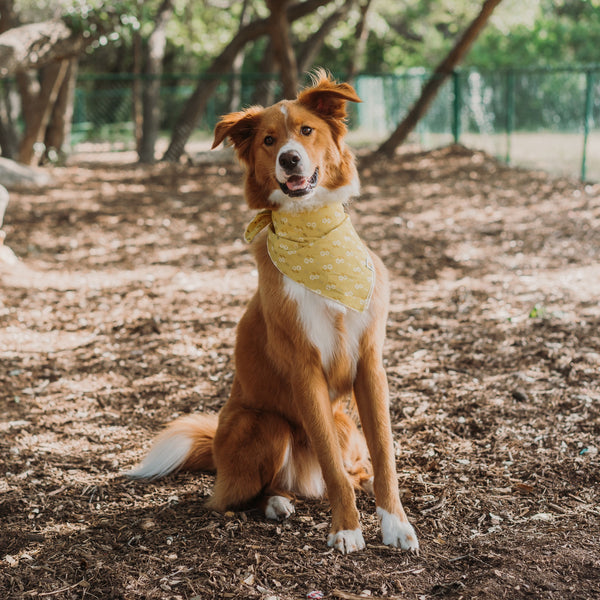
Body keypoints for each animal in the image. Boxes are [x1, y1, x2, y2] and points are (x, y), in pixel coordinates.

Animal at [127, 71, 418, 556]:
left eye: (306, 130)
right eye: (268, 140)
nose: (289, 159)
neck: (314, 235)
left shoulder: (370, 364)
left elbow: (384, 454)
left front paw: (395, 524)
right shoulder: (304, 370)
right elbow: (332, 468)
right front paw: (346, 529)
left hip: (344, 423)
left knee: (351, 466)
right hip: (263, 425)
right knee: (237, 497)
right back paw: (277, 503)